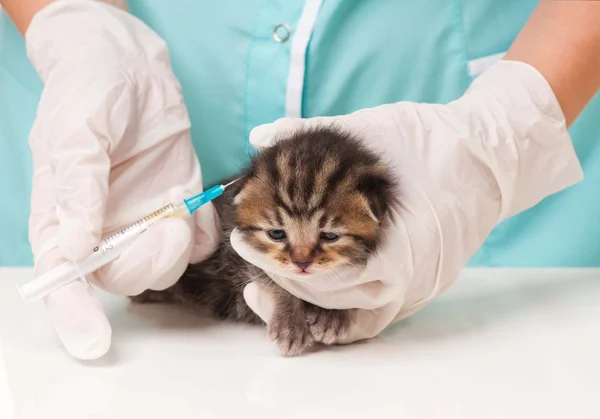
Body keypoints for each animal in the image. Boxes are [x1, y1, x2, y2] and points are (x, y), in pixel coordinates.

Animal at [241, 61, 584, 344]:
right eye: (276, 233)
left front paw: (332, 314)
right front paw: (290, 320)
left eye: (329, 235)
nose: (301, 263)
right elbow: (274, 279)